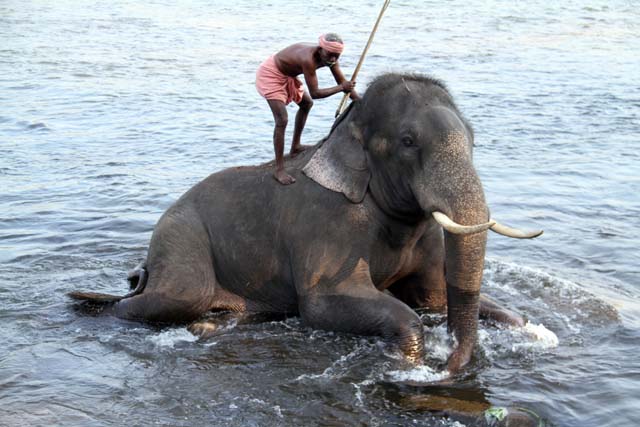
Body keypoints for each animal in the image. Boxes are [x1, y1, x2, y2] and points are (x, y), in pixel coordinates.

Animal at [70, 73, 541, 373]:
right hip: (180, 238)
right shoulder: (329, 225)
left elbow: (434, 298)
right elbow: (326, 305)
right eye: (408, 142)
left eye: (474, 140)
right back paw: (92, 306)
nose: (453, 366)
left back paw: (211, 325)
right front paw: (412, 364)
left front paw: (531, 331)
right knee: (177, 296)